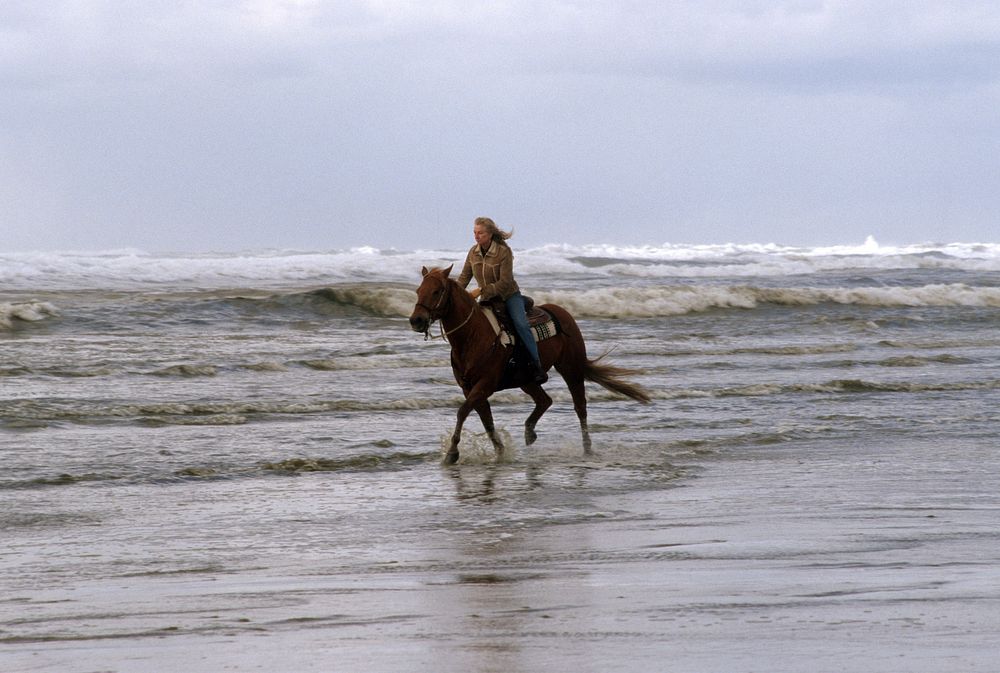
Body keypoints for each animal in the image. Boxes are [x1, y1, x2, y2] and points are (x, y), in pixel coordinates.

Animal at [410, 266, 652, 464]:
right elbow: (486, 420)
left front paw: (452, 453)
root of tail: (562, 312)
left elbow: (462, 412)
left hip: (570, 368)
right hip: (526, 379)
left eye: (437, 291)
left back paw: (587, 449)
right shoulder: (469, 388)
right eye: (418, 290)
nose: (416, 320)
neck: (473, 336)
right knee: (545, 400)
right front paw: (500, 452)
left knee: (580, 407)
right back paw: (529, 432)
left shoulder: (485, 385)